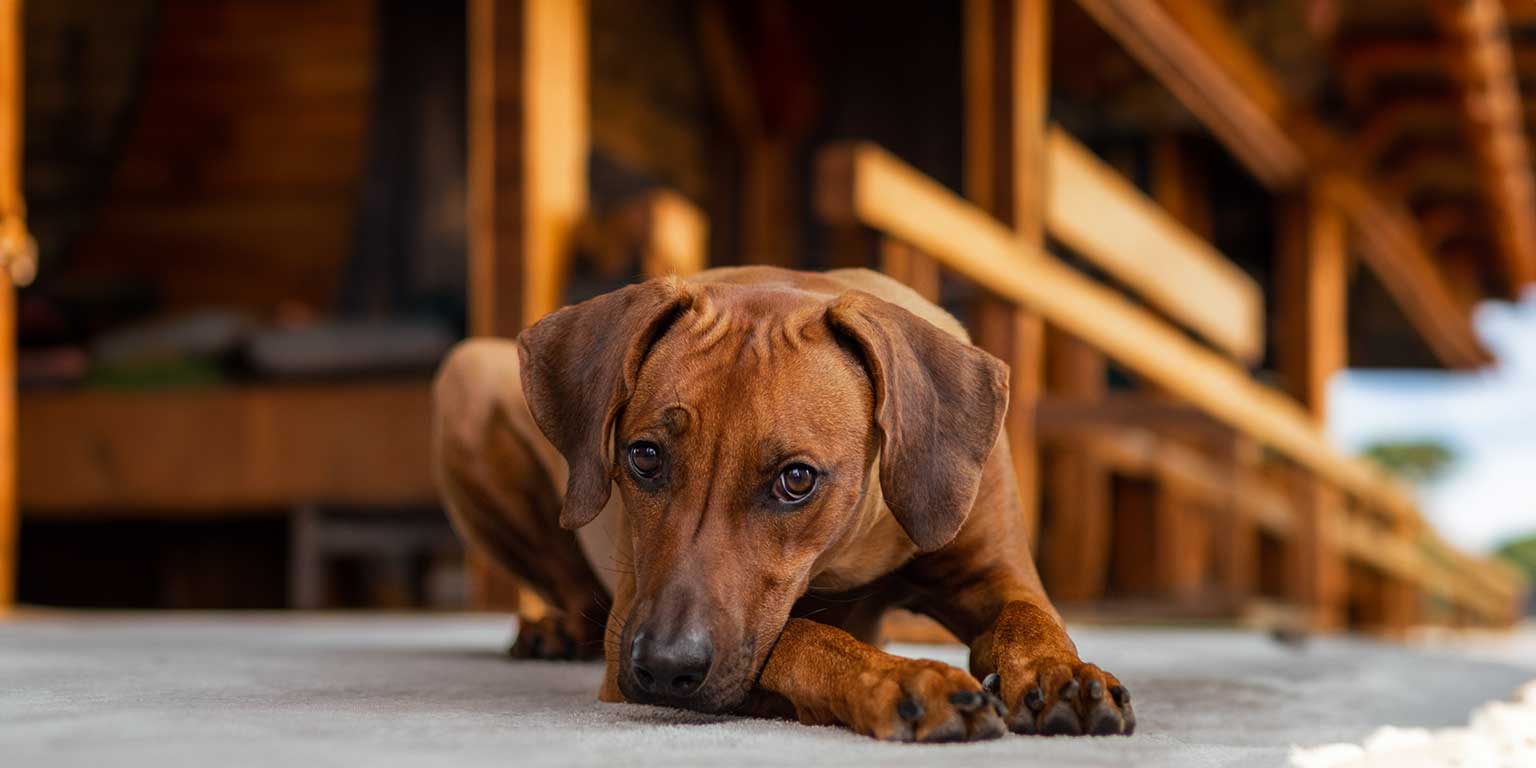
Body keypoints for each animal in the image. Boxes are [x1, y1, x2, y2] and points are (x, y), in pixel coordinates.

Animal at [433, 267, 1130, 740]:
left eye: (797, 479)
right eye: (645, 456)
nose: (663, 669)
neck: (849, 548)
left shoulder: (993, 567)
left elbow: (1029, 617)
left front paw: (1060, 671)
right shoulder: (633, 625)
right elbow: (800, 636)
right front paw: (907, 680)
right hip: (467, 374)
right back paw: (550, 629)